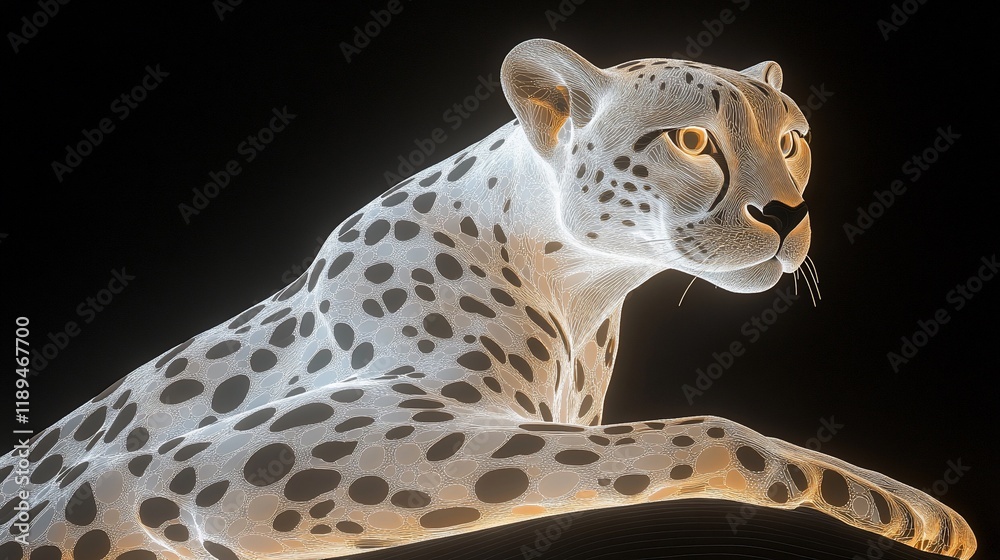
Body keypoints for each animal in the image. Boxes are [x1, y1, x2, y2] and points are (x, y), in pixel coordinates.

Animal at [0, 38, 976, 560]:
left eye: (795, 140)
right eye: (693, 140)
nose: (786, 214)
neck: (584, 290)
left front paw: (921, 508)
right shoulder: (181, 468)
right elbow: (694, 435)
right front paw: (886, 505)